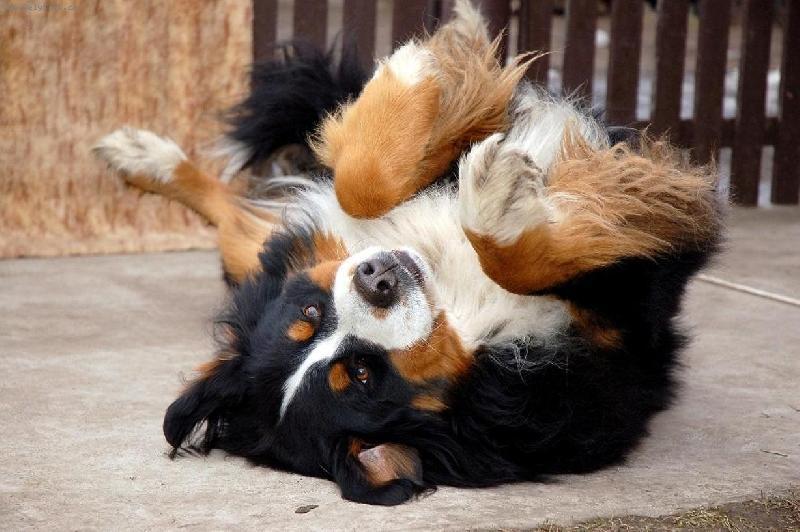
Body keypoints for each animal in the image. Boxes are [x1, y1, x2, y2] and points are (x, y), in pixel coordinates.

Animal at [94, 1, 724, 508]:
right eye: (363, 376)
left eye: (309, 312)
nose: (377, 277)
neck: (456, 304)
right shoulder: (619, 323)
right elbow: (519, 256)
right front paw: (501, 198)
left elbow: (364, 179)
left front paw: (426, 66)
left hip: (264, 253)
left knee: (242, 213)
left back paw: (141, 155)